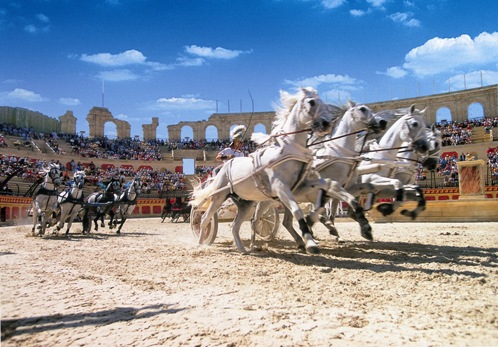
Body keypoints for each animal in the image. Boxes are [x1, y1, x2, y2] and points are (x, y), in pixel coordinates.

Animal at [191, 87, 334, 256]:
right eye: (311, 102)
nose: (327, 124)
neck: (288, 151)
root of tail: (224, 167)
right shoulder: (281, 189)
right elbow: (297, 210)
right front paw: (310, 243)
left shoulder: (300, 187)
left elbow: (318, 203)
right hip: (219, 196)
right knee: (205, 218)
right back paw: (200, 244)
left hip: (245, 203)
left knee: (235, 225)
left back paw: (243, 249)